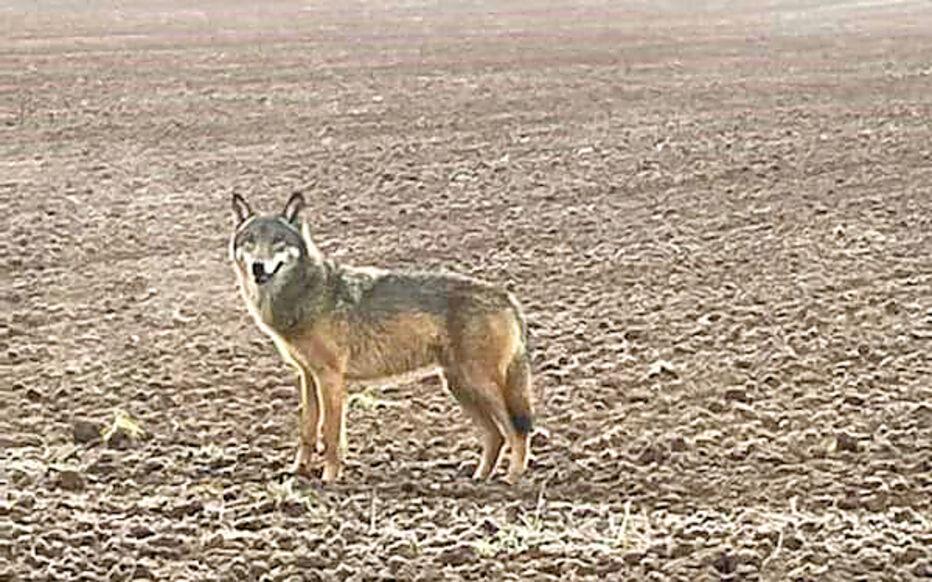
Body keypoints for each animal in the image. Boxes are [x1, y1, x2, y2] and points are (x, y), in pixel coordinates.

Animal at [228, 192, 535, 484]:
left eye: (278, 242)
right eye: (250, 241)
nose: (258, 267)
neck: (307, 292)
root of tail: (507, 297)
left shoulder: (330, 379)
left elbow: (330, 435)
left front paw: (328, 479)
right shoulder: (308, 376)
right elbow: (307, 431)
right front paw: (298, 472)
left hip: (480, 385)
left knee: (516, 430)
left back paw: (511, 479)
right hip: (460, 387)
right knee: (496, 436)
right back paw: (478, 479)